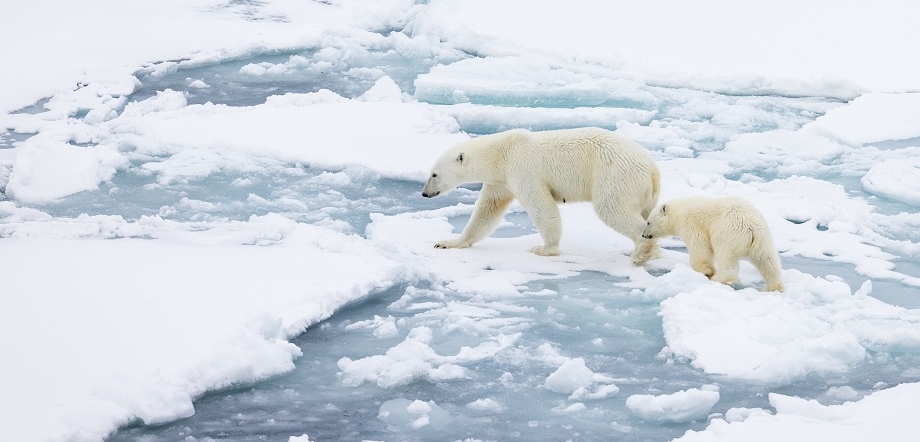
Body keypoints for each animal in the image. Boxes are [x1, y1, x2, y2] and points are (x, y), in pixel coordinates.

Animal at [424, 128, 660, 266]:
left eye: (434, 174)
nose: (425, 193)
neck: (501, 153)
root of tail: (652, 168)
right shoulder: (499, 181)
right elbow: (487, 210)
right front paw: (447, 243)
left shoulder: (523, 169)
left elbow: (541, 206)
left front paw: (543, 249)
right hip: (646, 194)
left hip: (615, 175)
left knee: (612, 208)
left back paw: (641, 252)